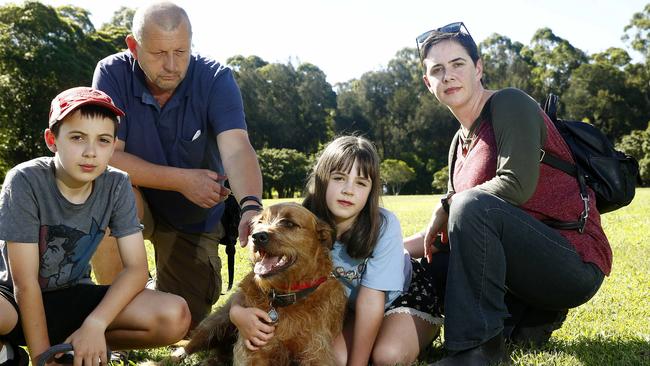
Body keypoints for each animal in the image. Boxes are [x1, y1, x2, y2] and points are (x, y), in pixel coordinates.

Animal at [184, 203, 344, 366]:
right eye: (260, 222)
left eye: (289, 223)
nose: (257, 236)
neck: (285, 296)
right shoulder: (253, 349)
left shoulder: (316, 352)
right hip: (215, 323)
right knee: (190, 343)